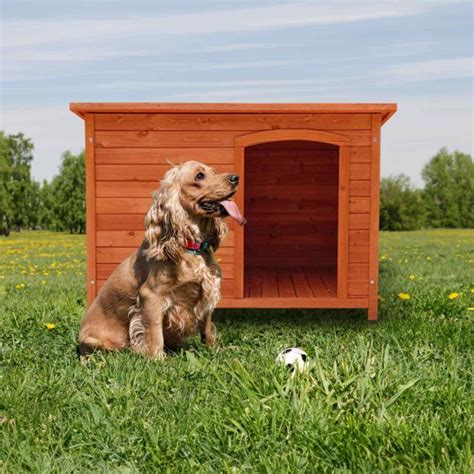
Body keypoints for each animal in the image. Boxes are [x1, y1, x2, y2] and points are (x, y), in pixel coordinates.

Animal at [78, 161, 244, 358]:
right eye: (199, 176)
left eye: (215, 171)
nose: (235, 178)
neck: (191, 247)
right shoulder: (151, 297)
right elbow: (155, 333)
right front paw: (158, 358)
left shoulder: (208, 290)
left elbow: (207, 327)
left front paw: (214, 350)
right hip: (94, 341)